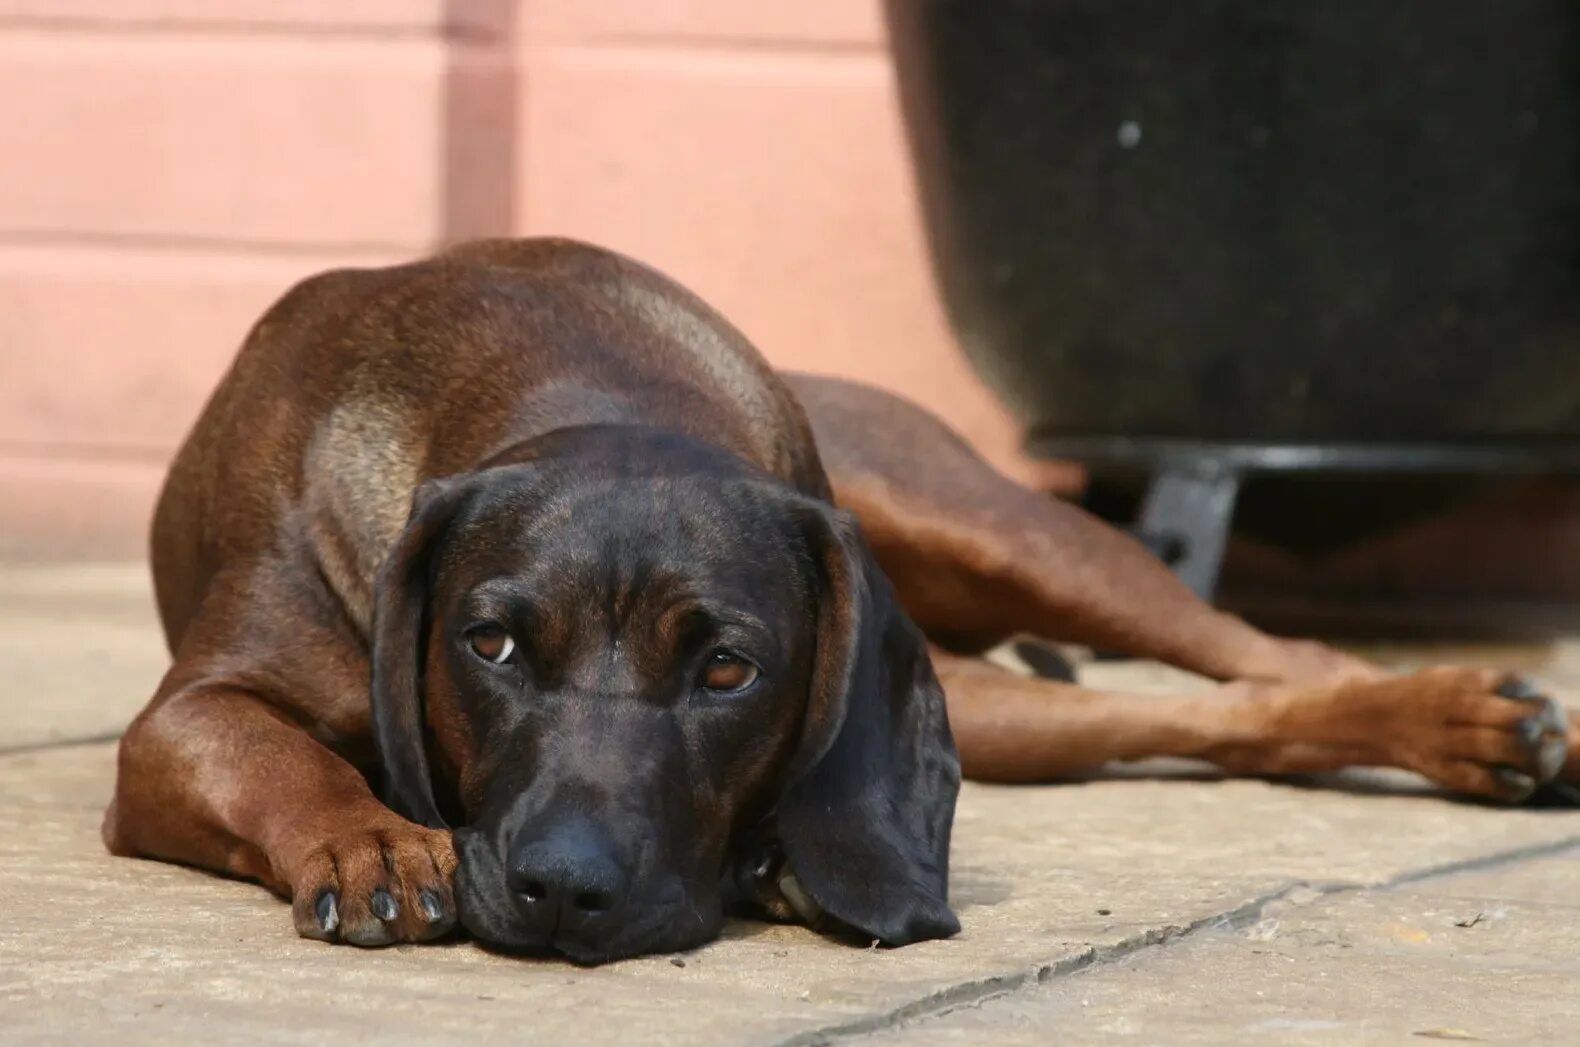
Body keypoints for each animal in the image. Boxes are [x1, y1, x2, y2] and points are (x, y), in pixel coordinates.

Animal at [105, 241, 1573, 960]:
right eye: (491, 642)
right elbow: (274, 754)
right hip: (999, 699)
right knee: (1213, 710)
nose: (565, 890)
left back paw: (1470, 714)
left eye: (727, 669)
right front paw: (369, 840)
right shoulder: (184, 718)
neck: (564, 375)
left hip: (1002, 530)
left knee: (1266, 647)